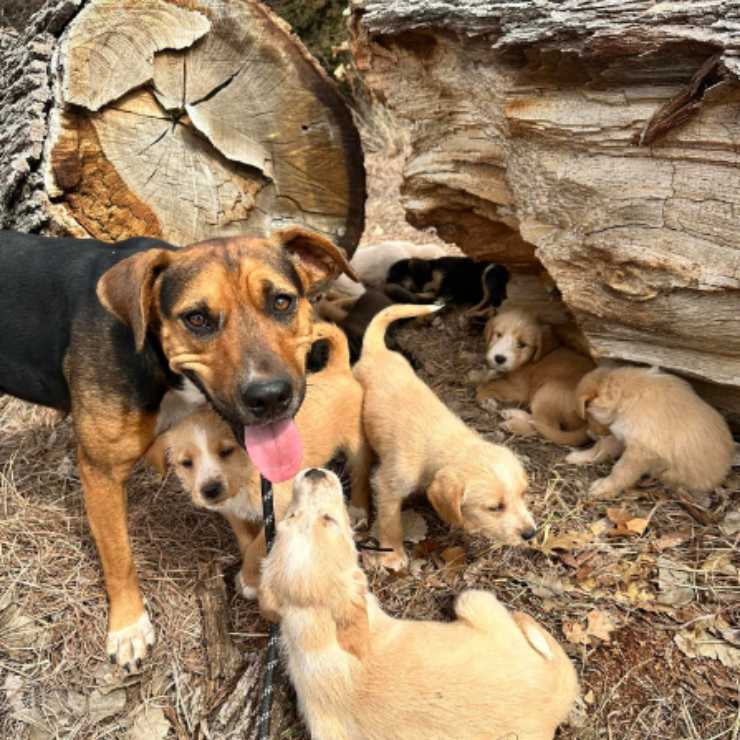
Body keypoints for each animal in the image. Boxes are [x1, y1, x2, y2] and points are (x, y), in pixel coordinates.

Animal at [0, 227, 354, 672]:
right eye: (197, 319)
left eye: (281, 301)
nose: (271, 396)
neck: (151, 352)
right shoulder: (101, 471)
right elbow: (118, 555)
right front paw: (128, 626)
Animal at [258, 468, 580, 740]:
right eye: (331, 520)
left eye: (289, 516)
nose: (314, 472)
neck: (315, 630)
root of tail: (557, 695)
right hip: (473, 597)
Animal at [352, 304, 532, 568]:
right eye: (495, 507)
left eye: (522, 494)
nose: (532, 533)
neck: (447, 443)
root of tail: (377, 350)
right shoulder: (387, 485)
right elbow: (390, 522)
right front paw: (394, 555)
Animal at [568, 364, 736, 498]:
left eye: (587, 417)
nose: (589, 434)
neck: (628, 393)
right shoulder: (620, 434)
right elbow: (601, 448)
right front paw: (581, 456)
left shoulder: (641, 451)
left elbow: (620, 470)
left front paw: (605, 487)